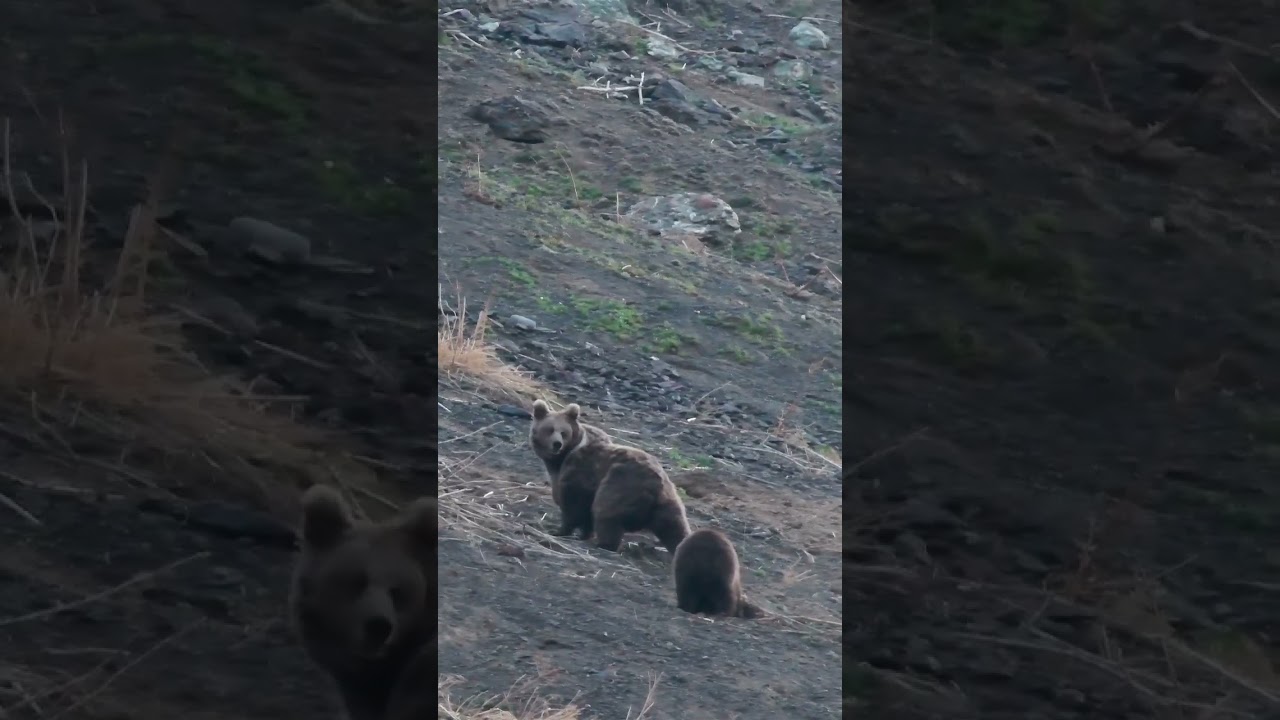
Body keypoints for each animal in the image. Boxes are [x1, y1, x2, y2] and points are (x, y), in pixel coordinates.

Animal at [529, 398, 691, 553]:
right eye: (549, 430)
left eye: (563, 432)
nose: (557, 444)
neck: (561, 459)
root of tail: (655, 486)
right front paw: (583, 534)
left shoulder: (581, 471)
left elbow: (573, 504)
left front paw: (560, 531)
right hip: (668, 501)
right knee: (675, 528)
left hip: (621, 483)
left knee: (606, 513)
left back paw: (604, 544)